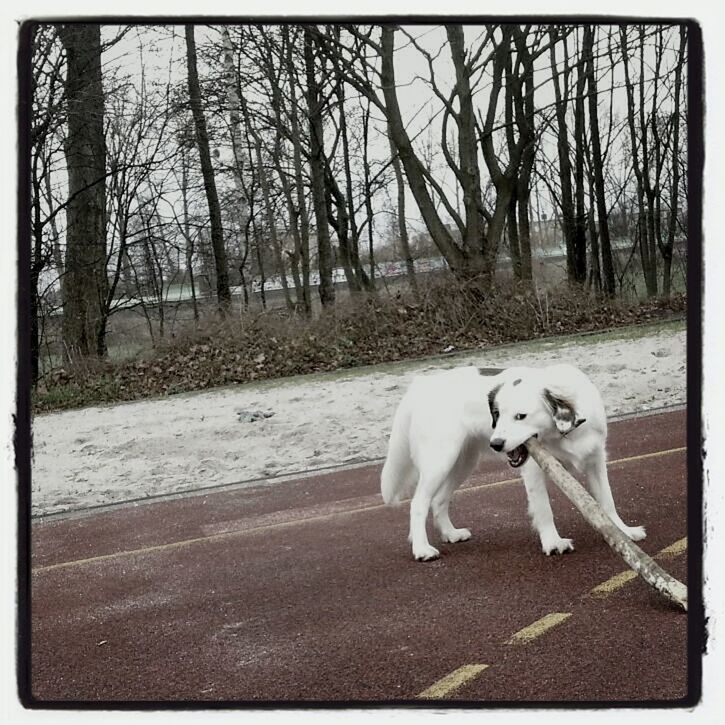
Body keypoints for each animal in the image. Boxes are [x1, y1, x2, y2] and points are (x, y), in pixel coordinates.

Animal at [378, 364, 644, 564]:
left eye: (520, 416)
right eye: (496, 414)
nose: (496, 443)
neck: (565, 433)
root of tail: (422, 384)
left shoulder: (596, 459)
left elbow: (607, 502)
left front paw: (624, 532)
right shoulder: (535, 469)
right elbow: (544, 509)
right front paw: (553, 543)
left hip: (462, 462)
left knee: (439, 499)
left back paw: (451, 534)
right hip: (440, 461)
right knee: (419, 503)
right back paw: (422, 549)